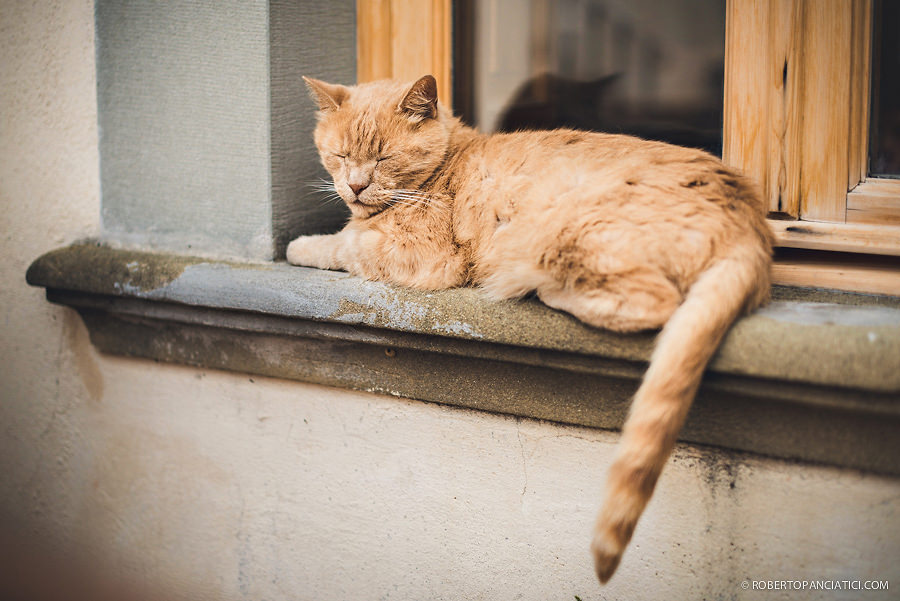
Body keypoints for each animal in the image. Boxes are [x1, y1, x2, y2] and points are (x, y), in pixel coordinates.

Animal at [288, 74, 772, 580]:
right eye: (341, 155)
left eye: (383, 157)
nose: (356, 186)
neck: (449, 164)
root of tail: (751, 224)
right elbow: (347, 237)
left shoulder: (420, 255)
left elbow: (342, 244)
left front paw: (302, 245)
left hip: (565, 232)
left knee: (654, 303)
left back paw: (536, 286)